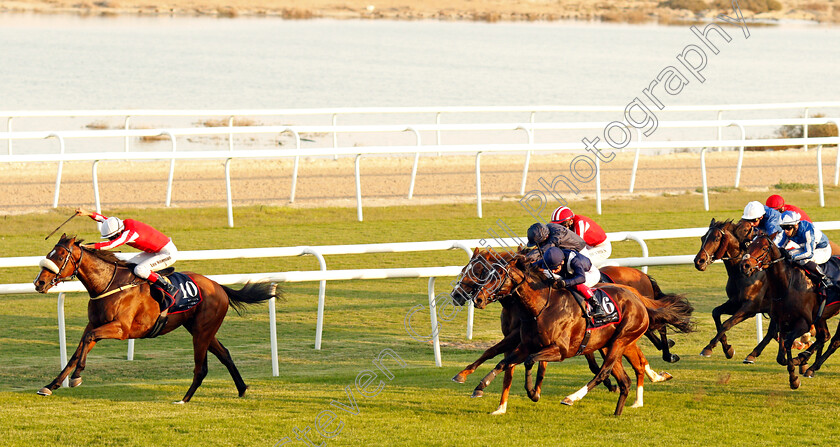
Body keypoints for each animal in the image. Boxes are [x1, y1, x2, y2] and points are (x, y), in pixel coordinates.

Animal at [33, 234, 278, 402]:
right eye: (49, 254)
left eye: (61, 256)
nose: (39, 283)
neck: (109, 284)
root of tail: (218, 286)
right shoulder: (95, 324)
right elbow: (77, 351)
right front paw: (52, 385)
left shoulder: (120, 329)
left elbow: (86, 342)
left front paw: (77, 377)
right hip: (200, 329)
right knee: (225, 354)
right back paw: (242, 388)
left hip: (202, 331)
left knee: (202, 368)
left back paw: (184, 399)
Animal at [462, 250, 692, 414]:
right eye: (484, 273)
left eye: (497, 275)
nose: (478, 298)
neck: (541, 307)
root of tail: (636, 297)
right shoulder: (525, 344)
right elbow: (505, 361)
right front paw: (480, 386)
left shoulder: (560, 350)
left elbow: (529, 361)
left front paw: (532, 392)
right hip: (609, 344)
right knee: (624, 378)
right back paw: (621, 409)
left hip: (621, 340)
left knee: (606, 371)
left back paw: (572, 398)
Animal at [692, 220, 776, 364]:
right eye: (702, 238)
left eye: (716, 239)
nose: (699, 261)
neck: (740, 273)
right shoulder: (735, 302)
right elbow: (716, 313)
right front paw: (727, 349)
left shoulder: (750, 307)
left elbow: (727, 323)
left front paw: (709, 347)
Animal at [740, 234, 840, 388]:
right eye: (749, 246)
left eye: (764, 248)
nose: (745, 265)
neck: (787, 285)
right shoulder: (782, 322)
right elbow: (781, 356)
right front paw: (799, 361)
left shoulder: (804, 323)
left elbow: (787, 344)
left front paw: (794, 378)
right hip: (821, 317)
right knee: (825, 336)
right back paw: (809, 365)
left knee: (834, 341)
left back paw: (809, 366)